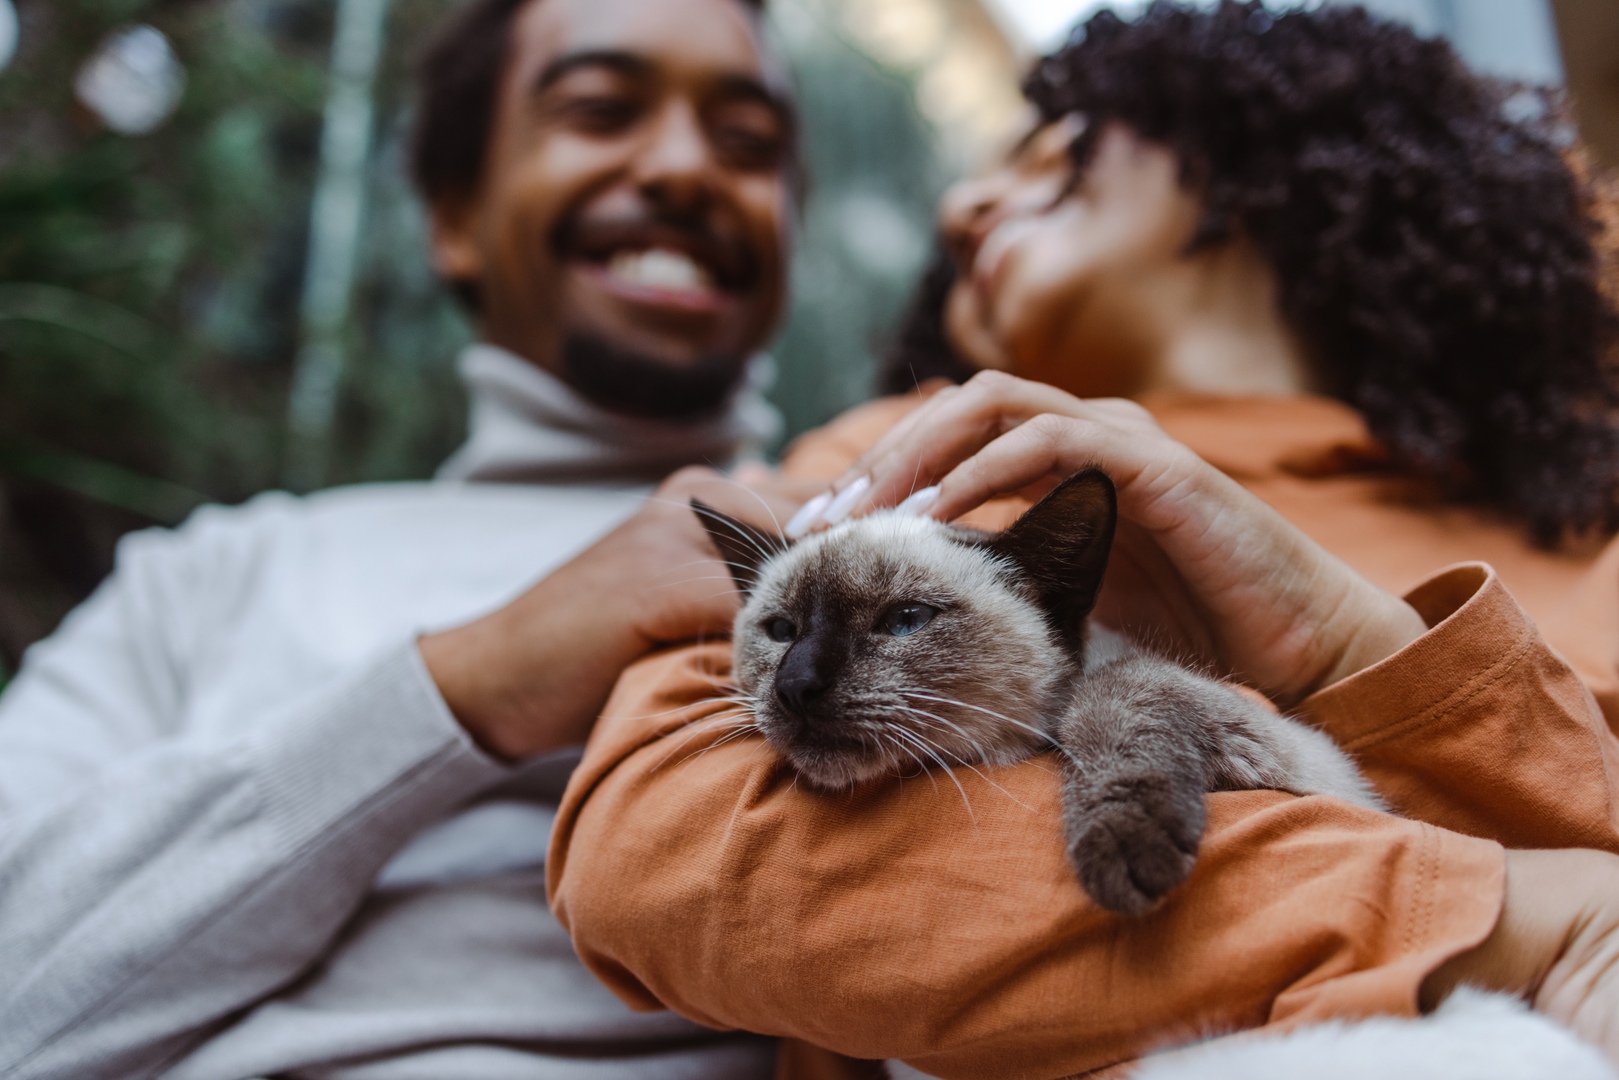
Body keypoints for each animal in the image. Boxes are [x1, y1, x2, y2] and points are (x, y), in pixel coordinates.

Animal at [694, 468, 1382, 914]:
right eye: (781, 631)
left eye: (905, 620)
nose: (796, 686)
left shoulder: (1313, 761)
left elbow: (1115, 687)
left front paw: (1124, 845)